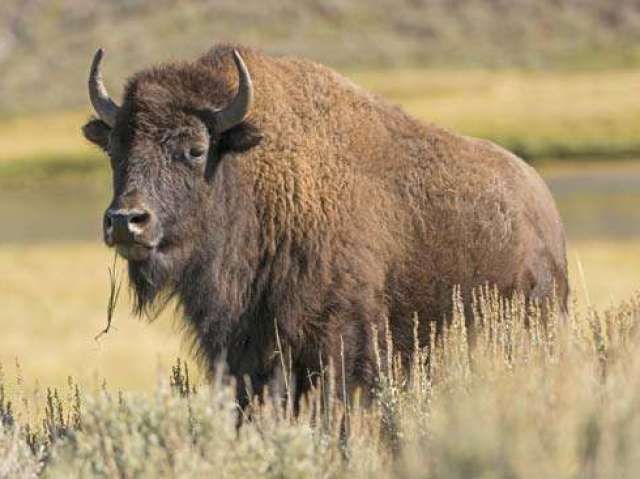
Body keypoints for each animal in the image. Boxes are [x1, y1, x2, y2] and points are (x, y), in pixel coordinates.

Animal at [82, 43, 568, 406]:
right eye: (115, 149)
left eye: (196, 149)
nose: (126, 221)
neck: (257, 175)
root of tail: (543, 207)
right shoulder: (243, 351)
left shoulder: (337, 342)